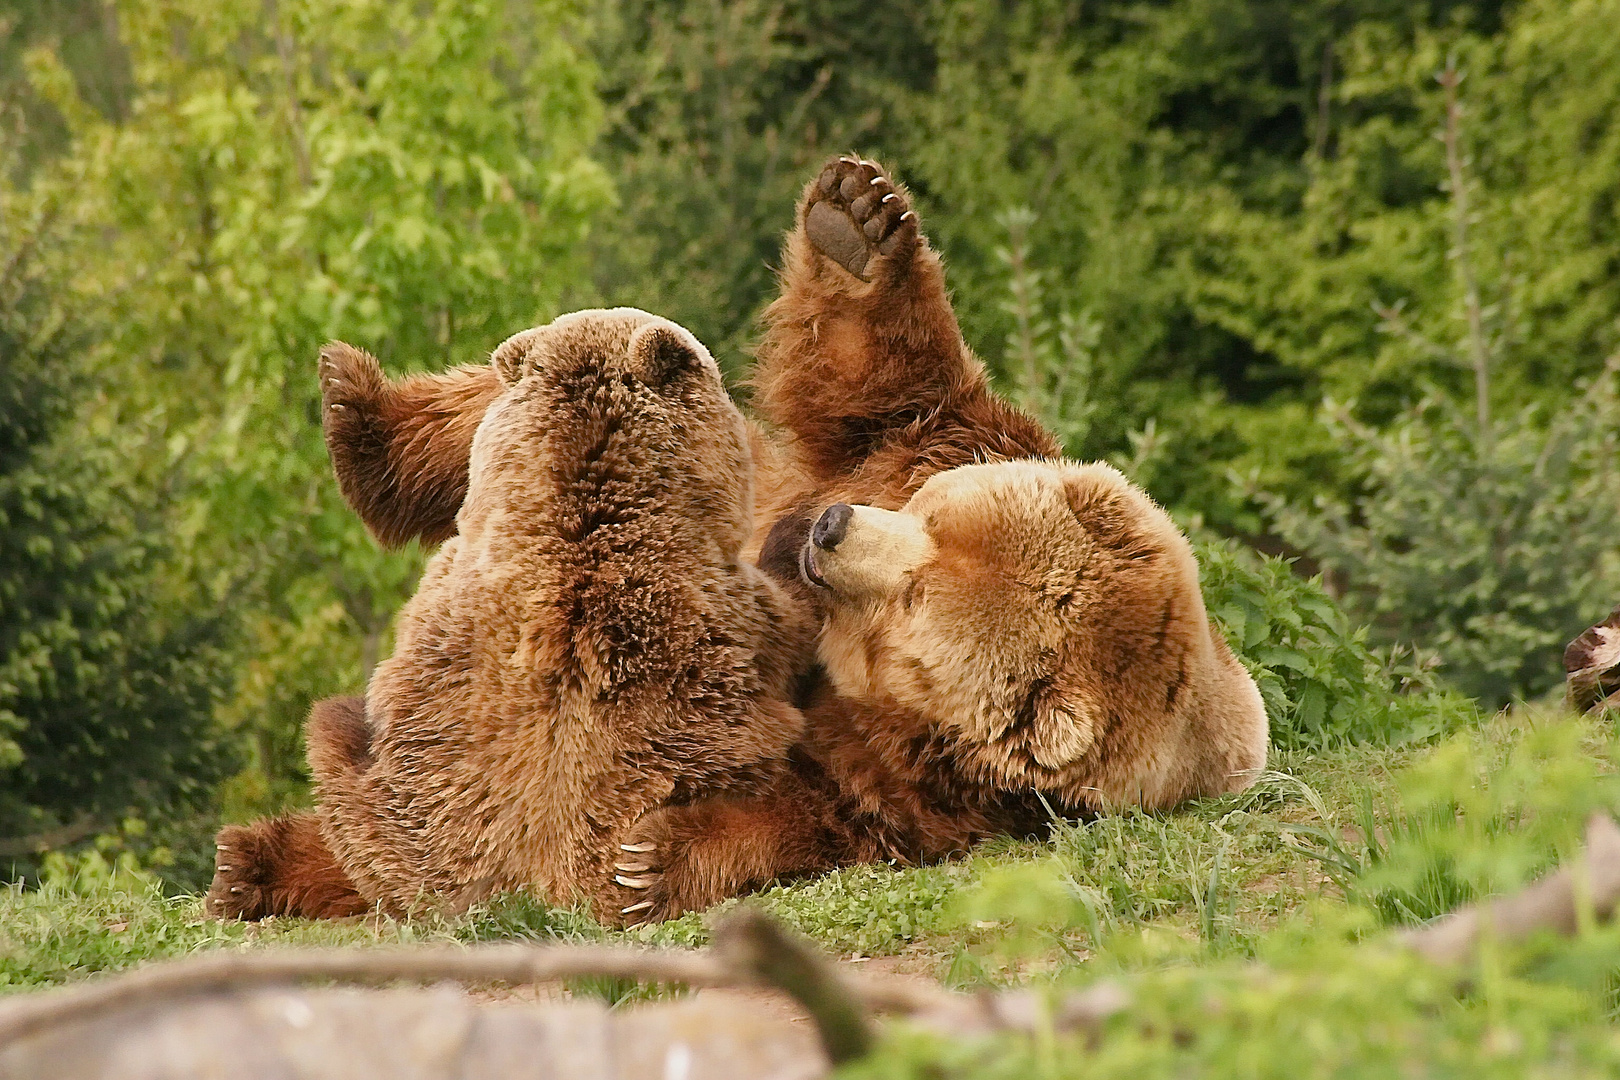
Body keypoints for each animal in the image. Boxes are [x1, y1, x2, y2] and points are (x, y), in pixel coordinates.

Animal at [205, 156, 1263, 926]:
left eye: (914, 603)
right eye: (931, 522)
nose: (828, 532)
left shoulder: (930, 790)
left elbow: (809, 812)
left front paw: (652, 859)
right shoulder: (920, 450)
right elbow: (889, 396)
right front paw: (856, 220)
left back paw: (258, 861)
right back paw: (357, 419)